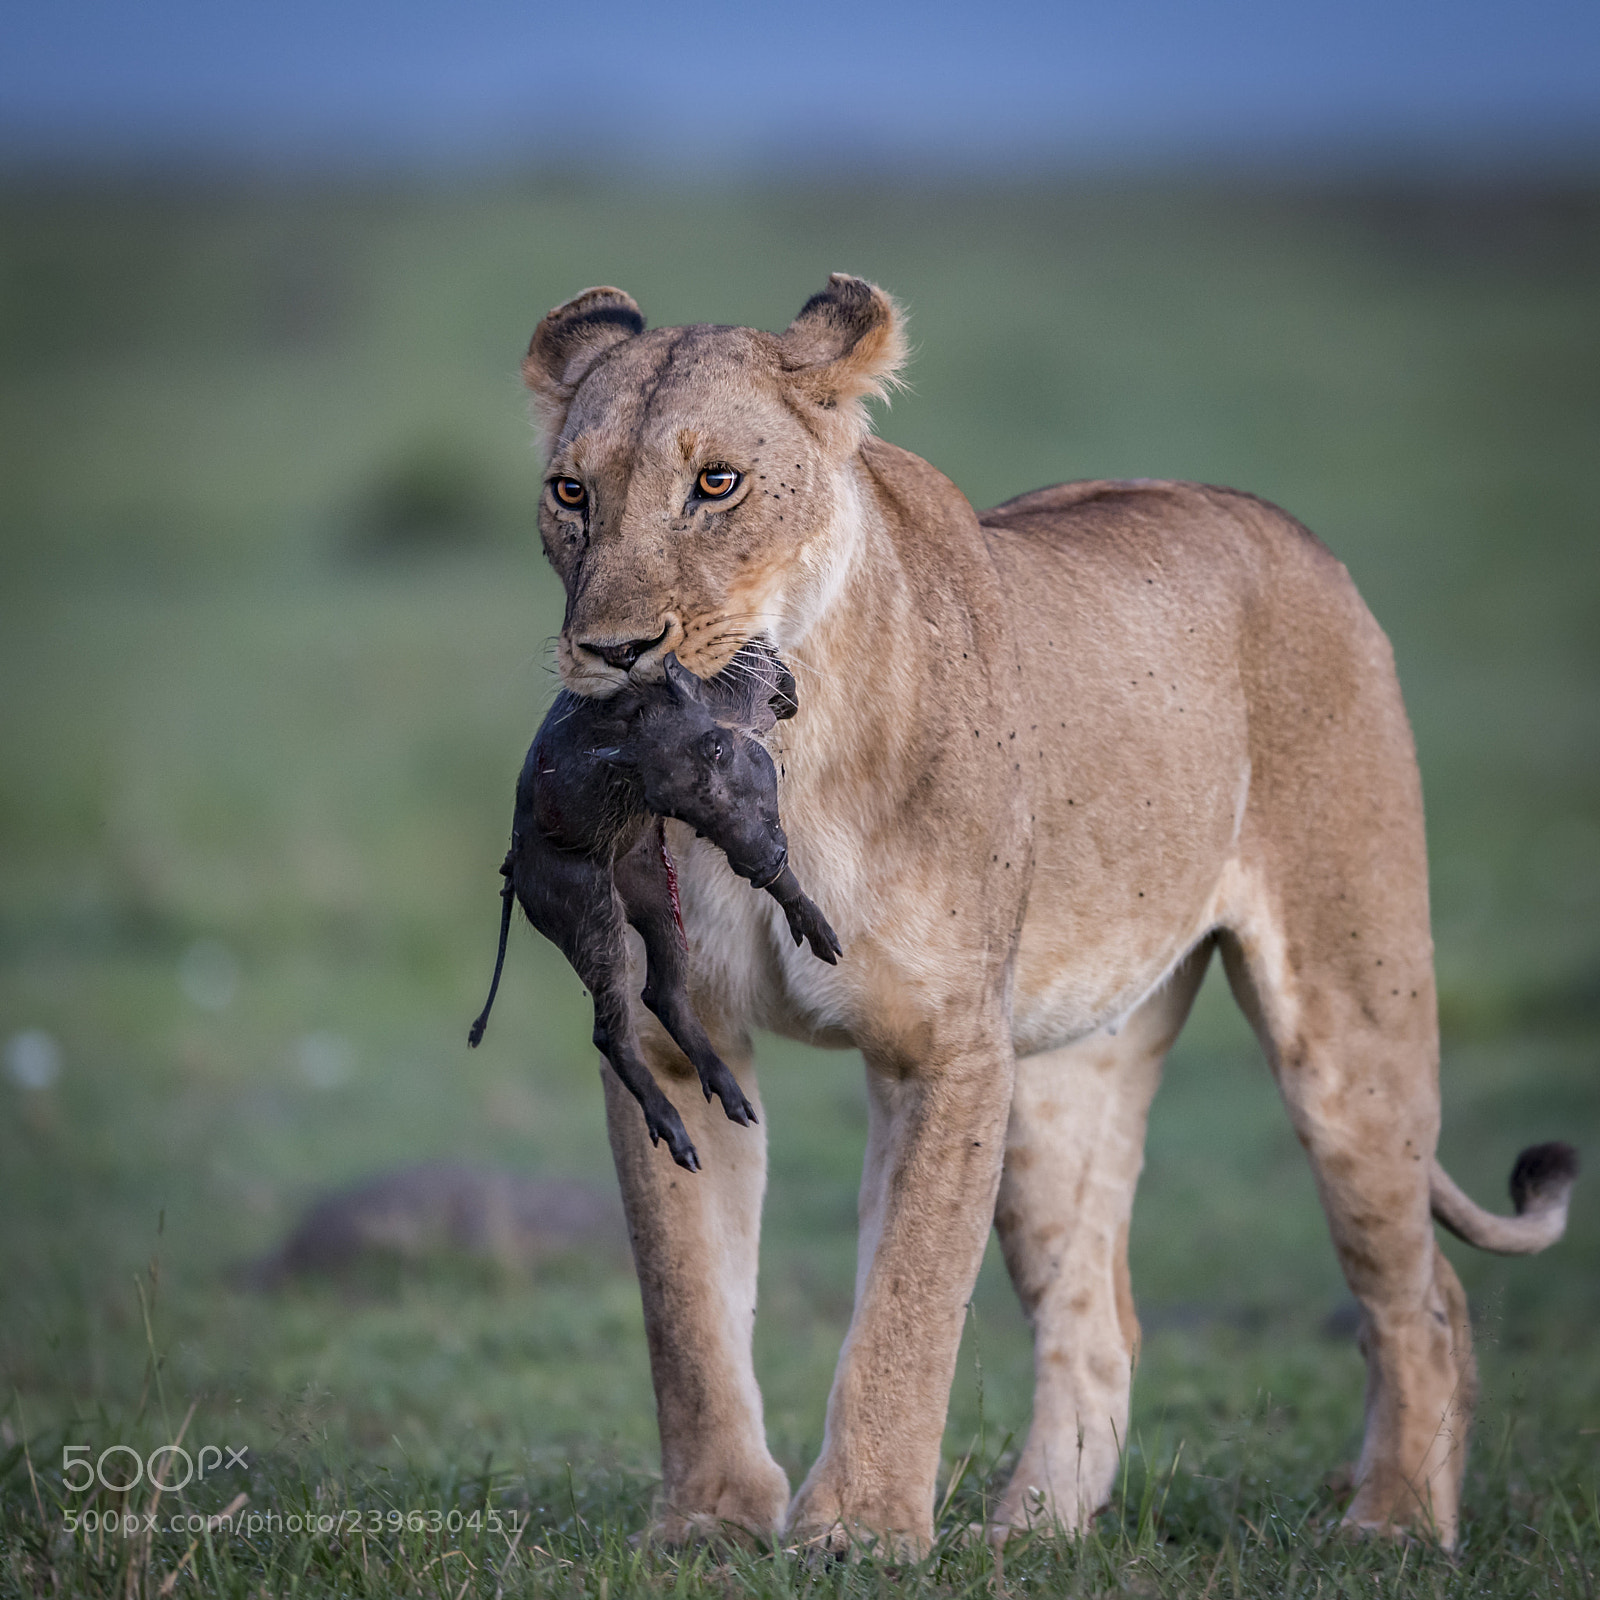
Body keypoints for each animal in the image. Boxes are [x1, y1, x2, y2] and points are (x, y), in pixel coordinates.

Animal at [513, 274, 1577, 1553]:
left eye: (716, 482)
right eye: (571, 492)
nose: (613, 653)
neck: (778, 743)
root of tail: (1285, 528)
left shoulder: (948, 1045)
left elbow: (908, 1302)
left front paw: (858, 1530)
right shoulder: (673, 1035)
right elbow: (685, 1302)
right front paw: (708, 1525)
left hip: (1347, 1016)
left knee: (1421, 1293)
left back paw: (1396, 1523)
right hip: (1063, 1073)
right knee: (1099, 1319)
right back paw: (1030, 1531)